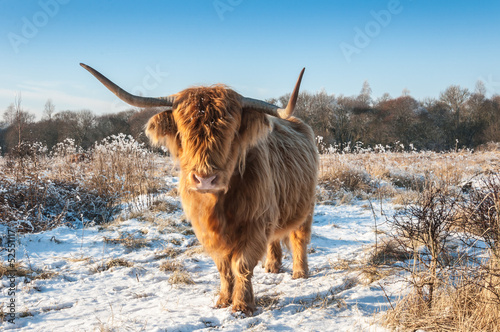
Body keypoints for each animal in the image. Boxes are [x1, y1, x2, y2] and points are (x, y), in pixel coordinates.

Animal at [80, 63, 318, 316]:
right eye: (184, 131)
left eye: (231, 132)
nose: (205, 179)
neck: (218, 204)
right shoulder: (208, 229)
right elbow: (223, 267)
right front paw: (223, 300)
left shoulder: (255, 222)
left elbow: (241, 264)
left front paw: (242, 306)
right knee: (275, 238)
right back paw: (272, 266)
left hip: (306, 206)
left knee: (299, 238)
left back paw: (300, 272)